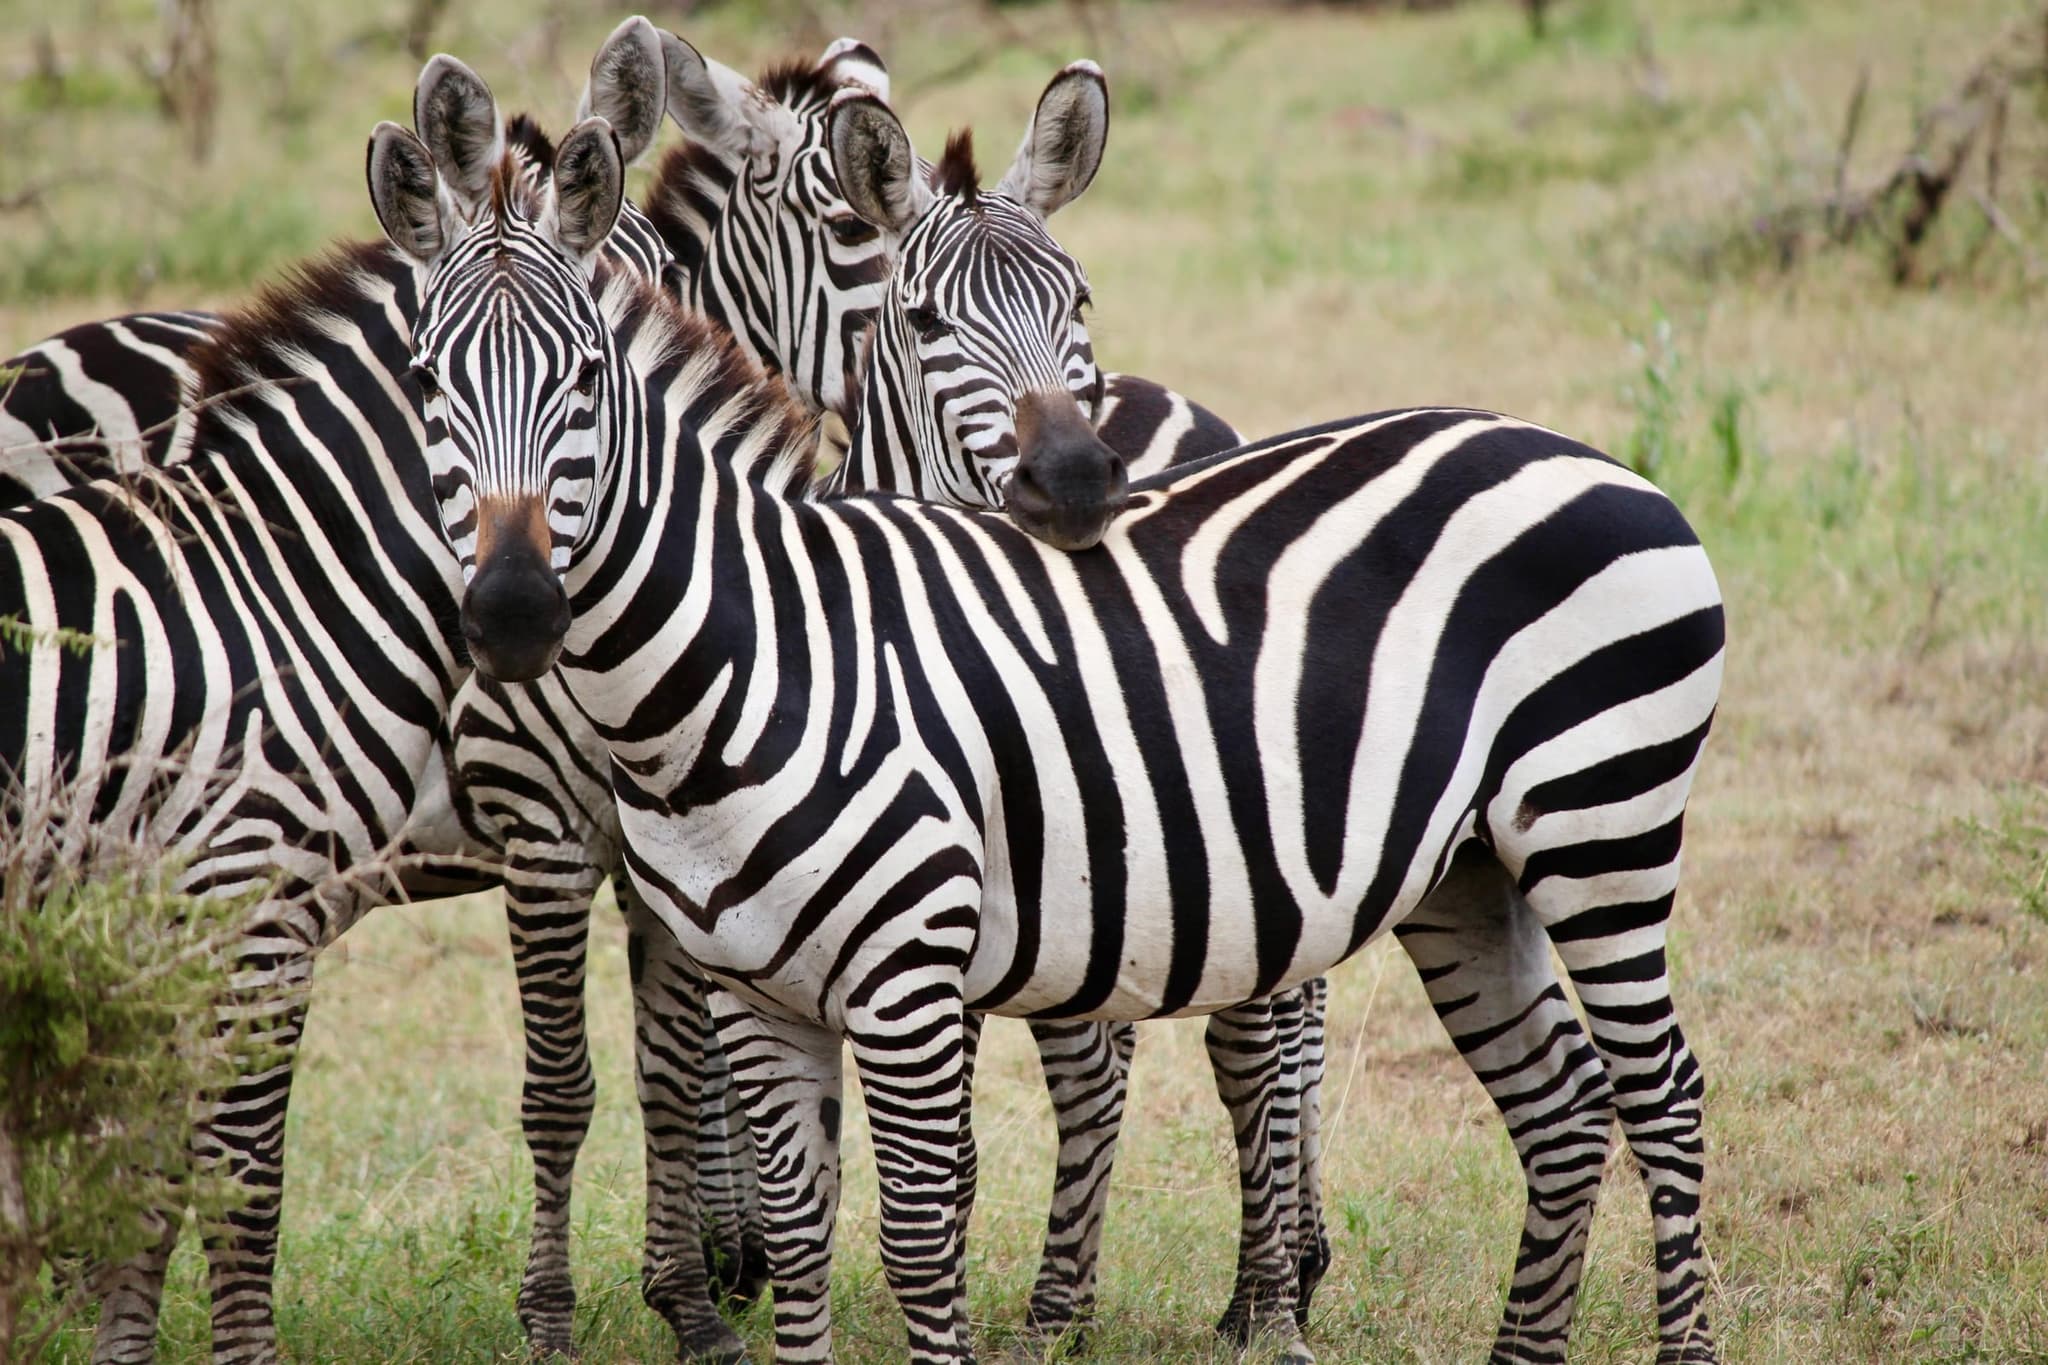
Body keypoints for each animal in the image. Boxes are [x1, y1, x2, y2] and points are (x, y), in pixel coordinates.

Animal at [0, 50, 764, 1365]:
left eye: (593, 373)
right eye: (425, 382)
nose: (512, 616)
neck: (277, 577)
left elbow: (674, 1068)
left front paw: (697, 1302)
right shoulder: (299, 891)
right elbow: (251, 1170)